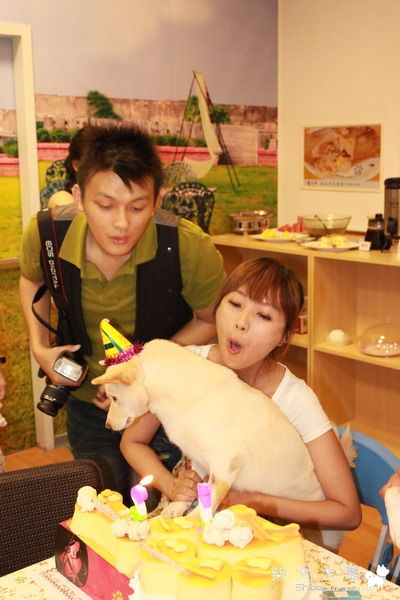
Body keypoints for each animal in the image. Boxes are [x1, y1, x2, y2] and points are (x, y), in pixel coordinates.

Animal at [92, 339, 325, 518]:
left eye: (114, 398)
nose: (107, 425)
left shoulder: (224, 467)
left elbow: (210, 500)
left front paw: (194, 523)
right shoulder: (198, 459)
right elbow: (195, 488)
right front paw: (178, 506)